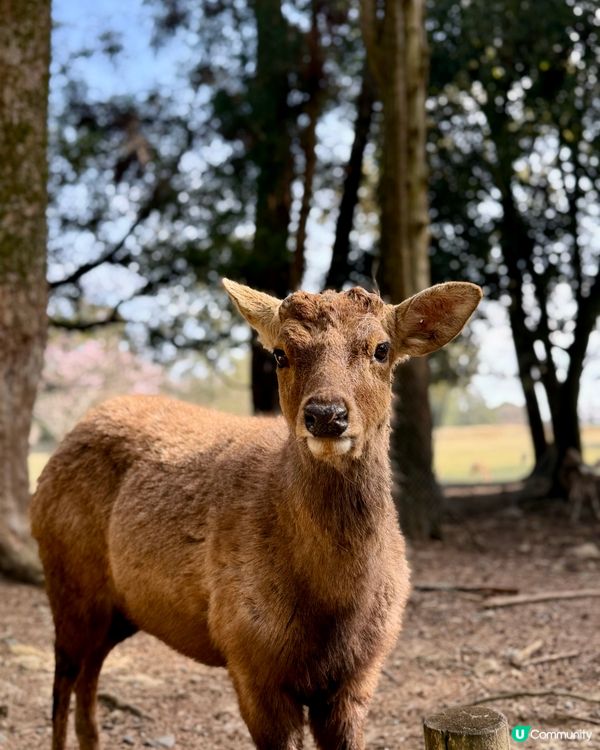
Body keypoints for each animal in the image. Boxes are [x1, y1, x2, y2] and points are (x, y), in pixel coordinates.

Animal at [30, 279, 482, 750]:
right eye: (280, 353)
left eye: (381, 348)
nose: (326, 415)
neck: (335, 609)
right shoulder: (248, 657)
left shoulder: (362, 671)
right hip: (66, 579)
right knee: (62, 682)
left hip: (118, 610)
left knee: (88, 678)